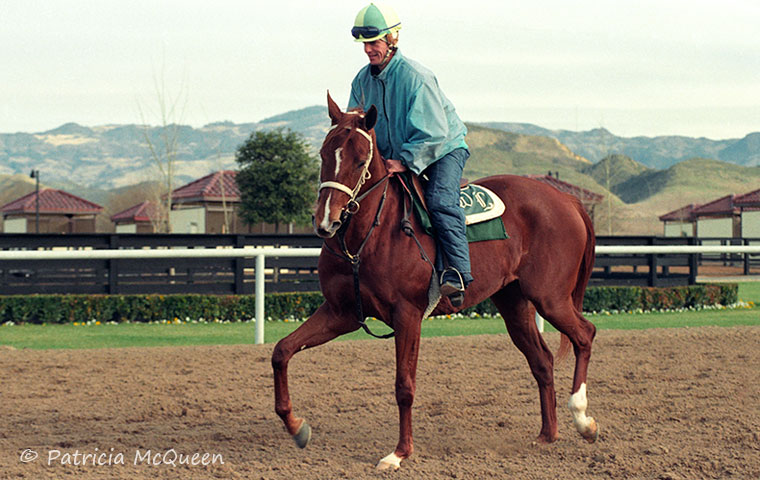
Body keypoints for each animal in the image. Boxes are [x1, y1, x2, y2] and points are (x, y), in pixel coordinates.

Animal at [274, 93, 600, 468]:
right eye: (324, 154)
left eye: (359, 161)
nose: (325, 221)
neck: (372, 236)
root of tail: (568, 200)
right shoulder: (340, 313)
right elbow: (282, 351)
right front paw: (296, 426)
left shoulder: (407, 315)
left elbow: (404, 385)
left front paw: (399, 453)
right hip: (514, 303)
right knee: (542, 361)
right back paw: (547, 435)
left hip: (550, 298)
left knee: (584, 335)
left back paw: (584, 420)